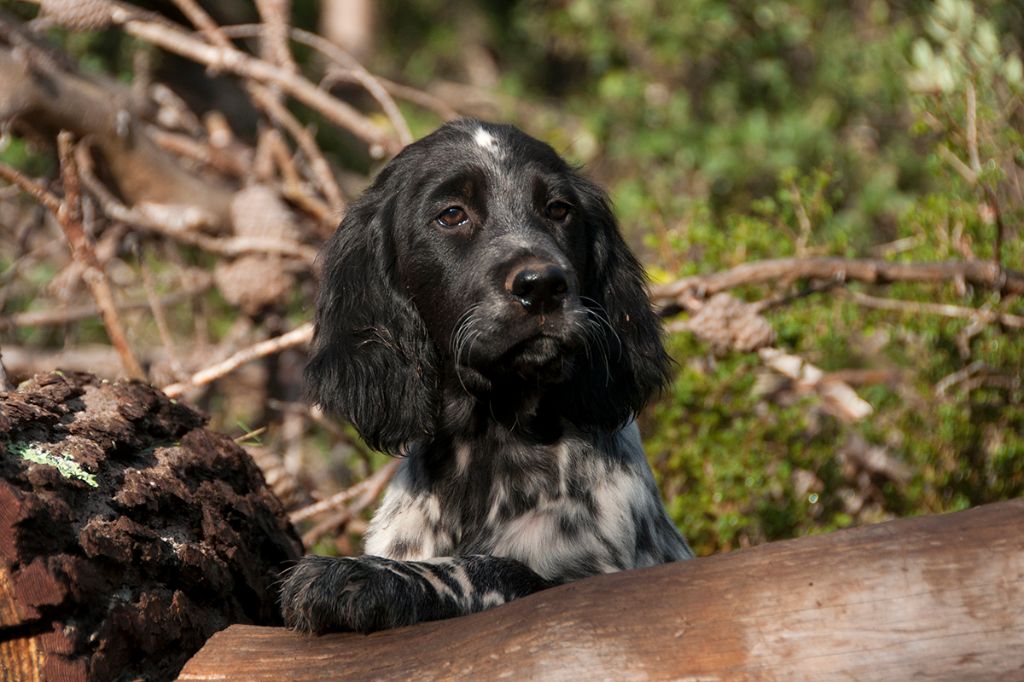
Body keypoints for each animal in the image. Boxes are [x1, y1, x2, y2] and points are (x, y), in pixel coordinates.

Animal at [284, 118, 692, 630]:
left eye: (558, 210)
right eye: (451, 214)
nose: (543, 286)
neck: (490, 443)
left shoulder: (596, 581)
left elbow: (497, 568)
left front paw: (362, 575)